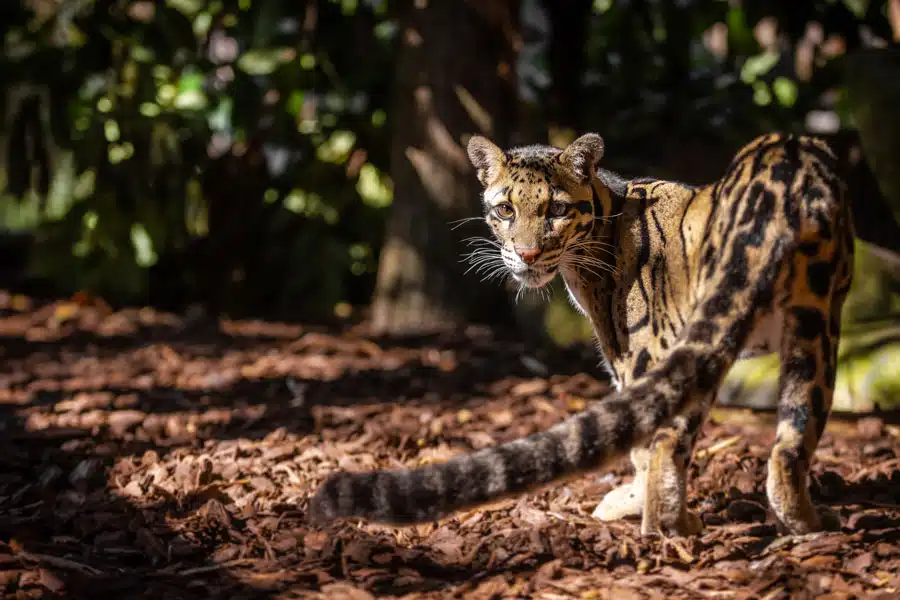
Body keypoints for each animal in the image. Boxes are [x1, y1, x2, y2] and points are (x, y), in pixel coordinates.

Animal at [312, 131, 856, 536]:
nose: (527, 254)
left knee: (669, 443)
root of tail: (783, 174)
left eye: (555, 210)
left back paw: (671, 529)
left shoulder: (632, 351)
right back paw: (804, 524)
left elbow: (639, 443)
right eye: (505, 209)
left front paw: (627, 502)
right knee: (791, 440)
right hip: (811, 323)